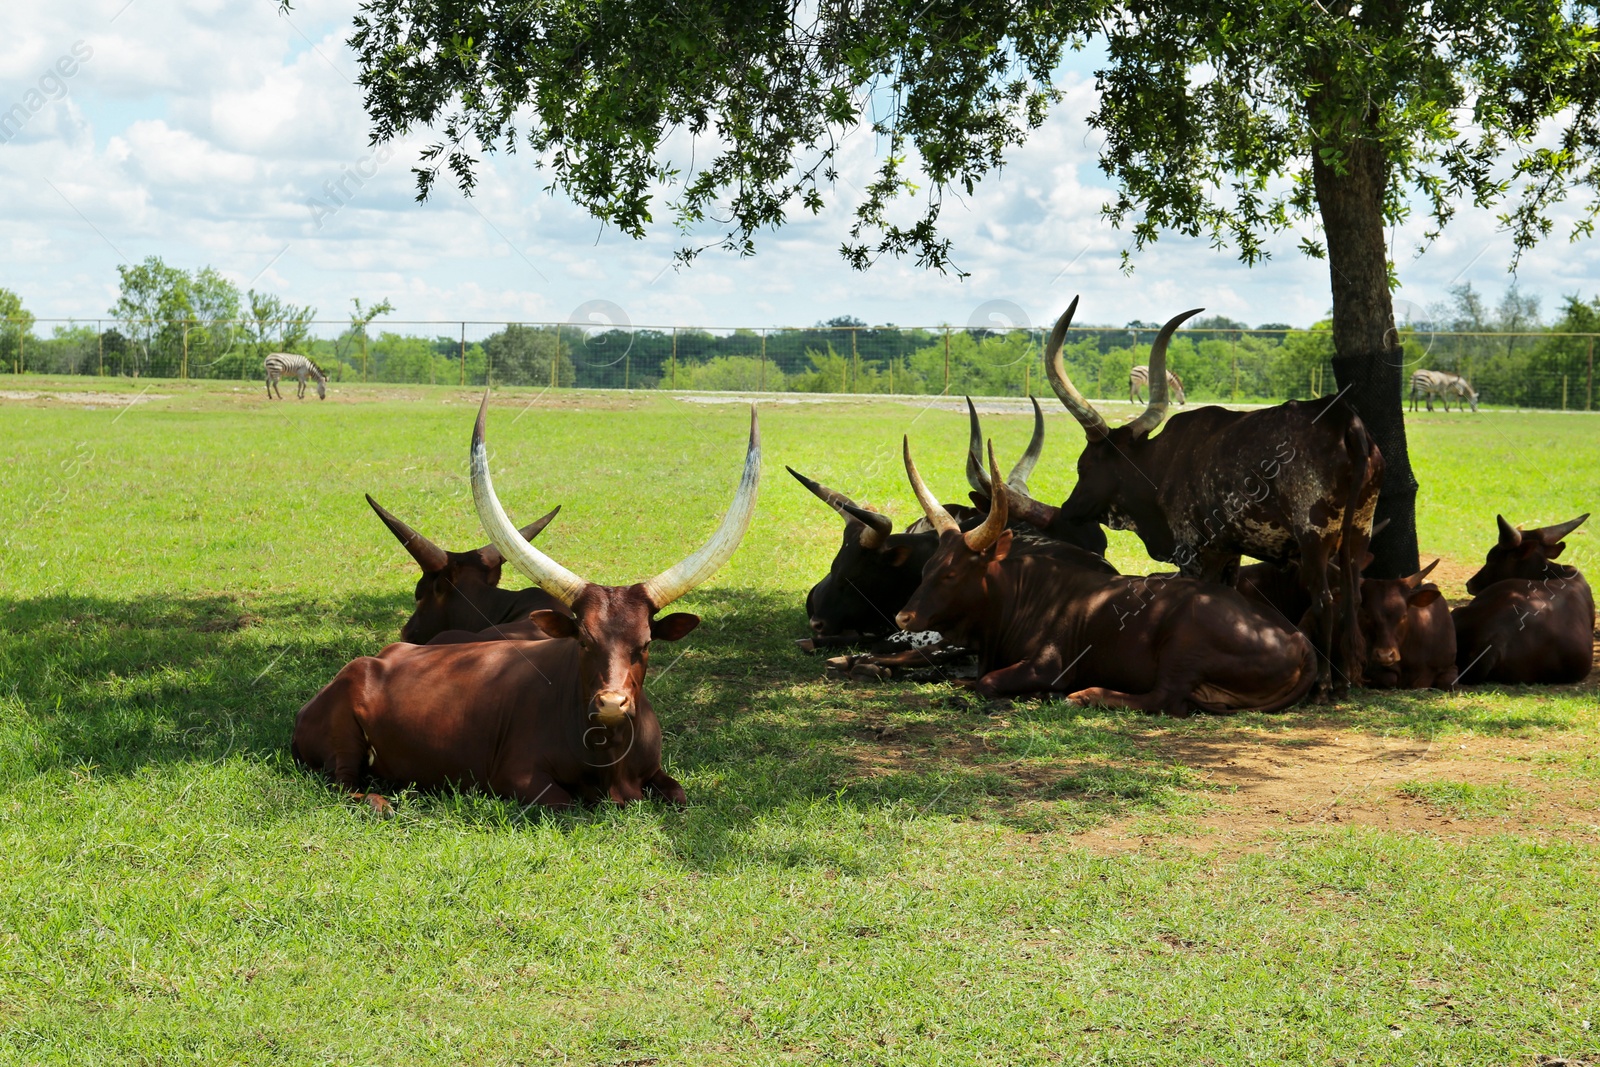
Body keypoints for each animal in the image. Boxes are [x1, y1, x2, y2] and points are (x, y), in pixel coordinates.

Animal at [292, 399, 761, 809]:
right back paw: (378, 802)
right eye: (583, 641)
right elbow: (568, 805)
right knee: (343, 782)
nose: (612, 704)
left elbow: (680, 795)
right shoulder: (520, 780)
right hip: (343, 743)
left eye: (645, 644)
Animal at [889, 438, 1312, 713]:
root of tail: (1298, 639)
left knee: (1165, 700)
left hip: (1183, 647)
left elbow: (986, 682)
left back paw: (1087, 695)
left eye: (952, 573)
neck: (1018, 595)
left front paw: (1041, 694)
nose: (903, 617)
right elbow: (967, 679)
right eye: (928, 568)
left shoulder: (1047, 664)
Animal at [1017, 300, 1382, 700]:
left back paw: (1325, 683)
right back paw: (1348, 678)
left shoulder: (1192, 551)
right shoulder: (1229, 550)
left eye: (1083, 466)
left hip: (1313, 535)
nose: (1068, 510)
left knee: (1325, 599)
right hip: (1359, 528)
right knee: (1353, 594)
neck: (1163, 464)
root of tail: (1346, 422)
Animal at [1356, 559, 1459, 694]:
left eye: (1404, 615)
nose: (1385, 655)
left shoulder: (1450, 666)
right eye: (1367, 615)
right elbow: (1390, 678)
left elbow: (1448, 683)